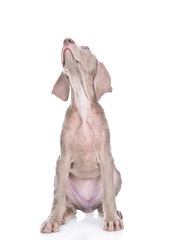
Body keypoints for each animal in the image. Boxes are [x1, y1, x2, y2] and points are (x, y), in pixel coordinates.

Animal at [40, 38, 123, 232]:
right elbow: (57, 197)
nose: (67, 39)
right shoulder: (62, 160)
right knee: (66, 203)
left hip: (116, 174)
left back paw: (113, 213)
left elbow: (109, 194)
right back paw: (63, 215)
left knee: (103, 203)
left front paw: (111, 220)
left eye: (86, 48)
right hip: (59, 178)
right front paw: (52, 220)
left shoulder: (107, 159)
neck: (83, 105)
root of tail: (87, 206)